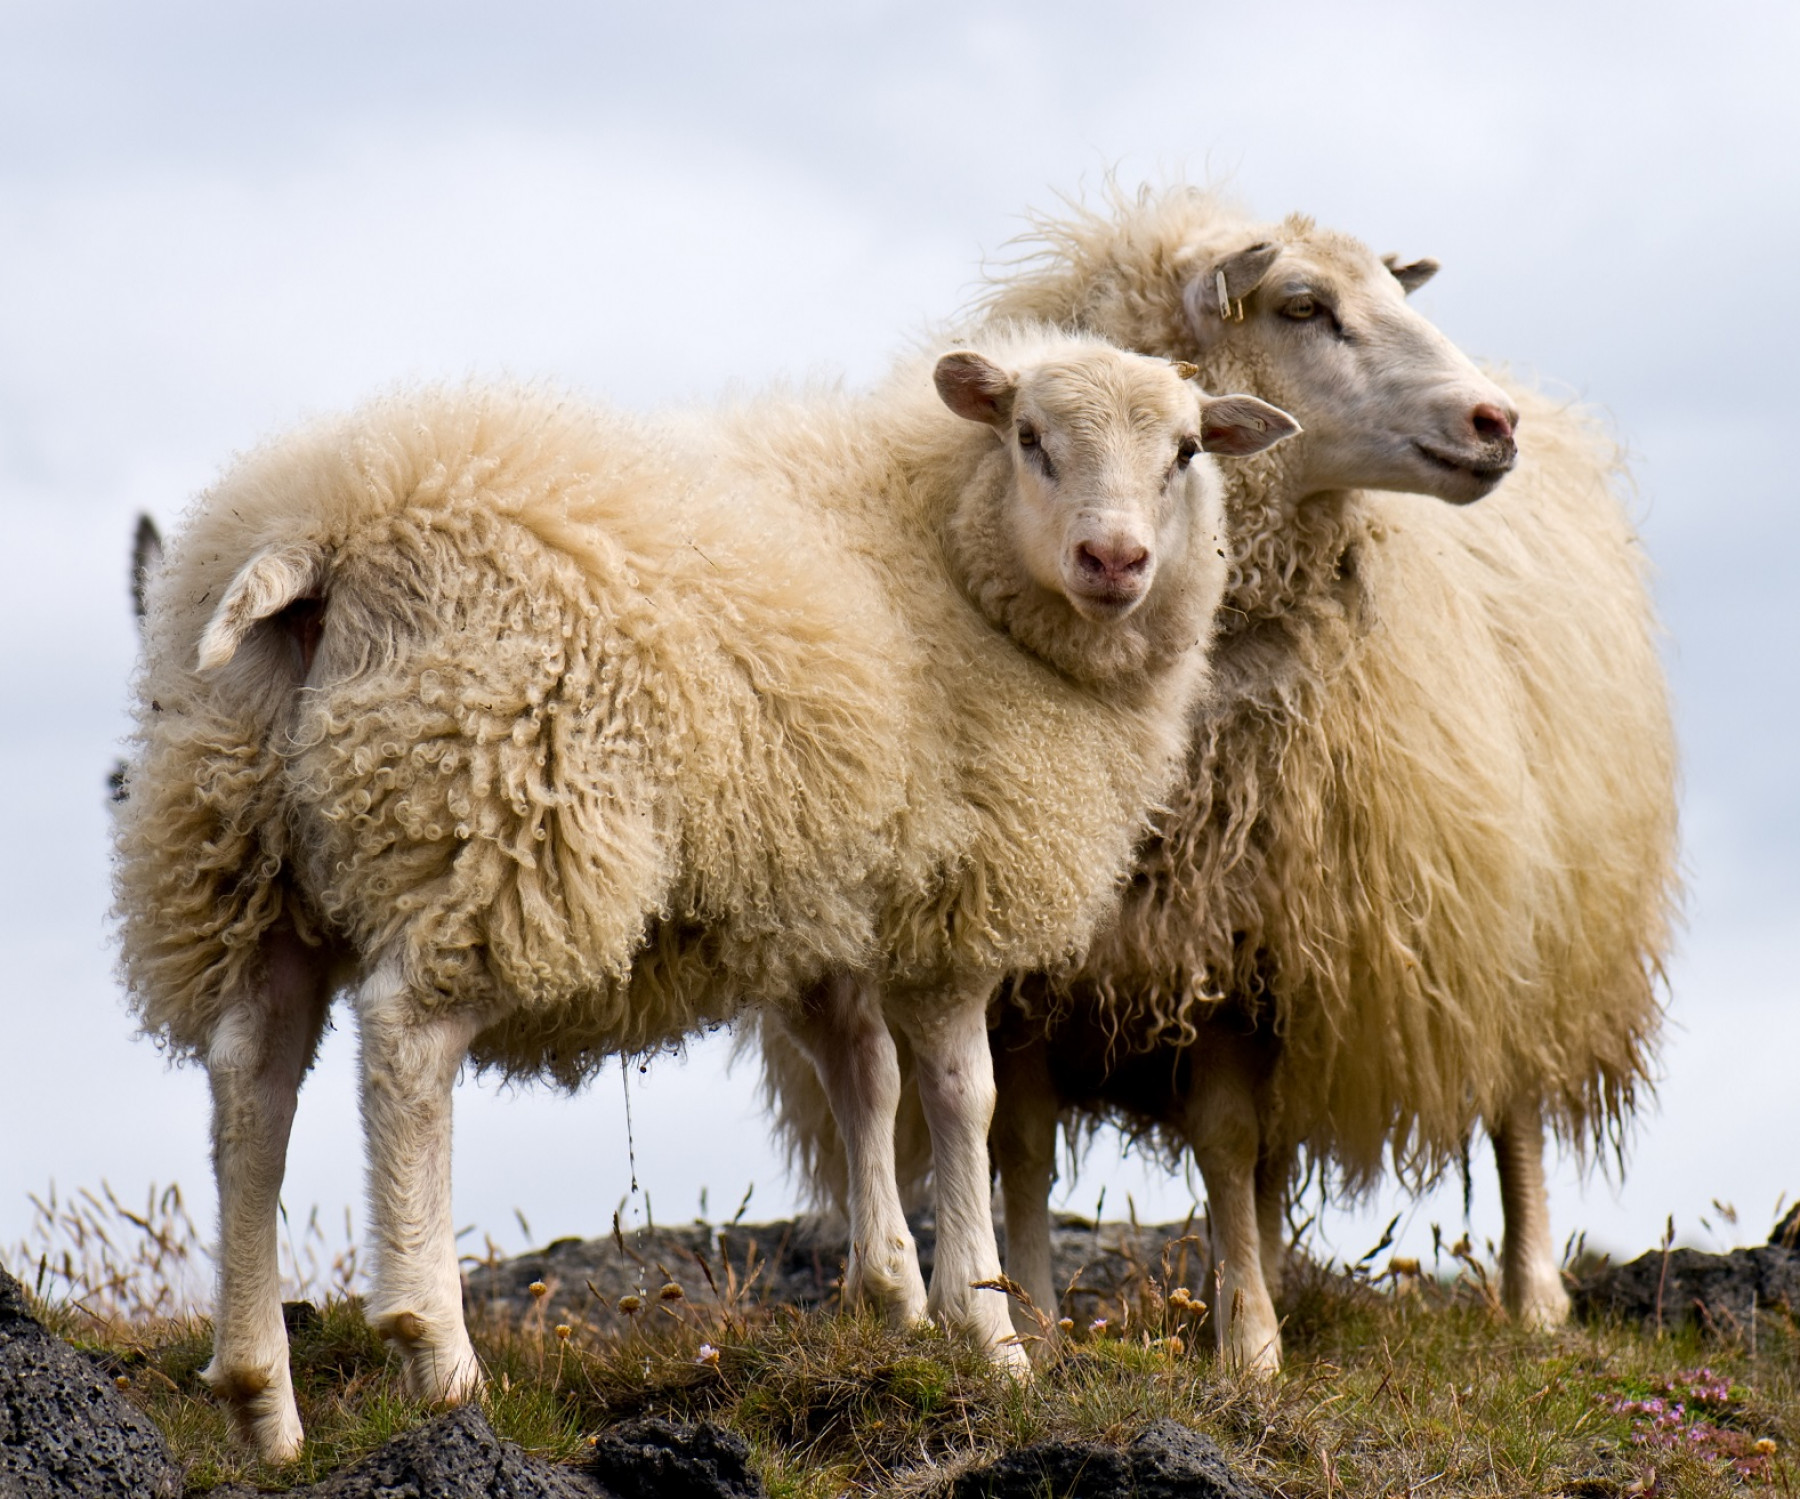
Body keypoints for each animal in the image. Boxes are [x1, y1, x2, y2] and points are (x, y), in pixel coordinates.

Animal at [116, 322, 1296, 1454]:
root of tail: (320, 534)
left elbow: (863, 1077)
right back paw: (438, 1351)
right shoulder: (956, 899)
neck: (944, 542)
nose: (1115, 558)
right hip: (493, 811)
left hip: (236, 847)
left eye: (1185, 451)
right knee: (407, 1046)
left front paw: (893, 1297)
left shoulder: (832, 894)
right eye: (1030, 437)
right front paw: (988, 1330)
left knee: (252, 1074)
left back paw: (263, 1398)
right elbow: (963, 1097)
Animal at [752, 187, 1677, 1367]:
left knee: (1509, 1101)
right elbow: (1024, 1141)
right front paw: (1040, 1318)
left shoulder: (1247, 934)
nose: (1495, 422)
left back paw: (1533, 1299)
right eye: (1304, 304)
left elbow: (1229, 1138)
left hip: (1530, 923)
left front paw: (1251, 1347)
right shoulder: (1048, 954)